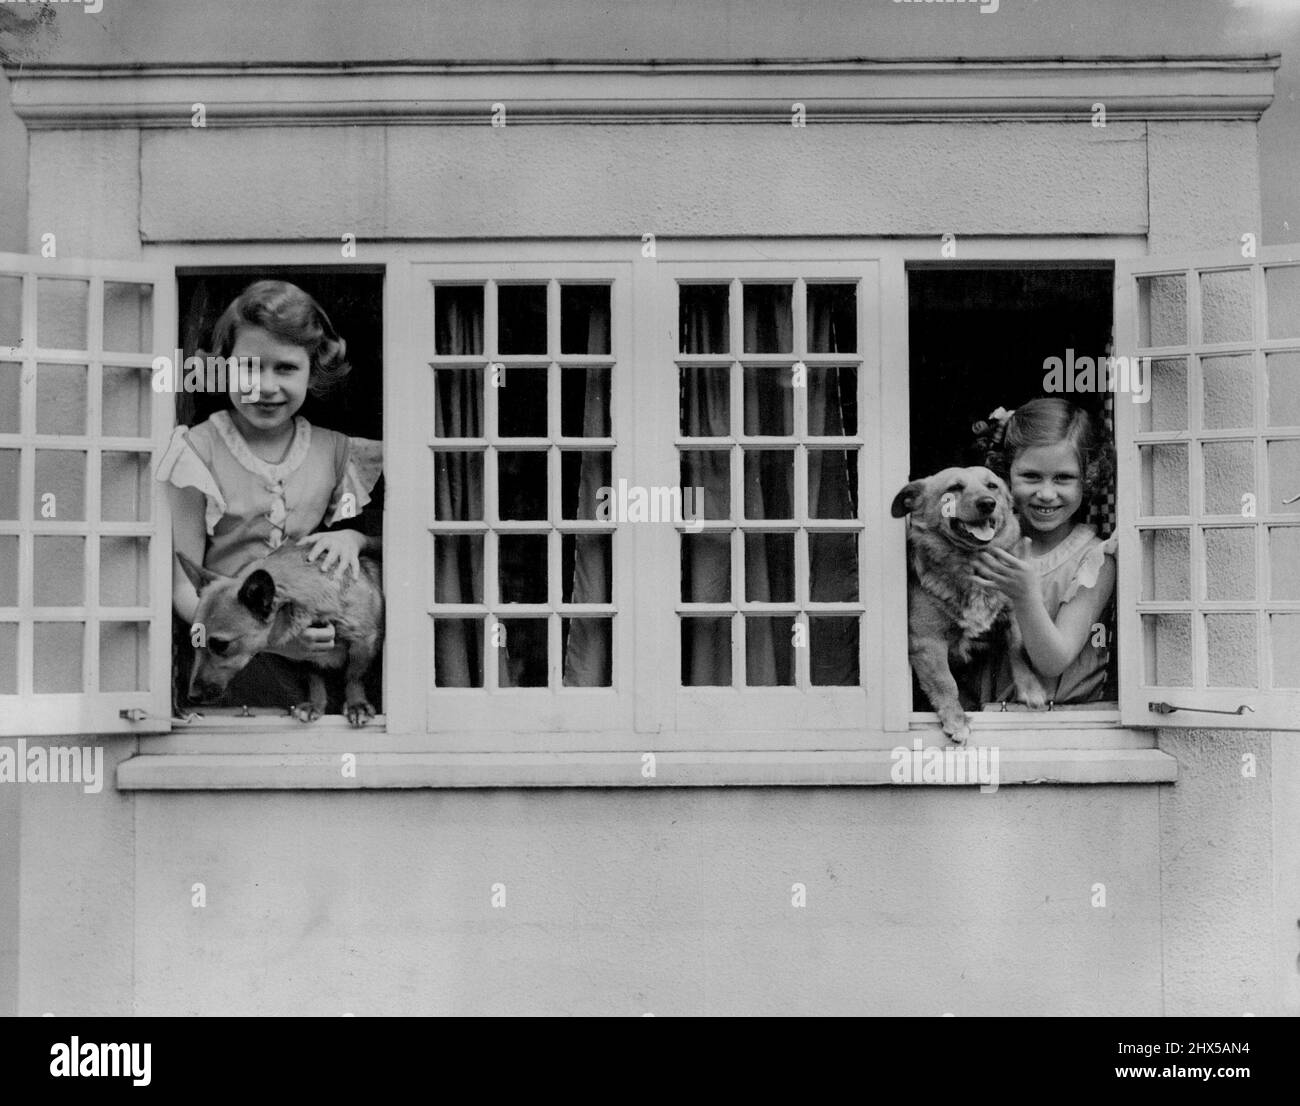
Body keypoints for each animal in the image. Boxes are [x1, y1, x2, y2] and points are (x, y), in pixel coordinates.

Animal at [894, 467, 1045, 743]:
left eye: (992, 486)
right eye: (954, 488)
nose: (987, 503)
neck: (971, 563)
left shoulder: (1015, 613)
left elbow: (1018, 649)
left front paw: (1031, 688)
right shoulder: (927, 641)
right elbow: (945, 682)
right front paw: (956, 720)